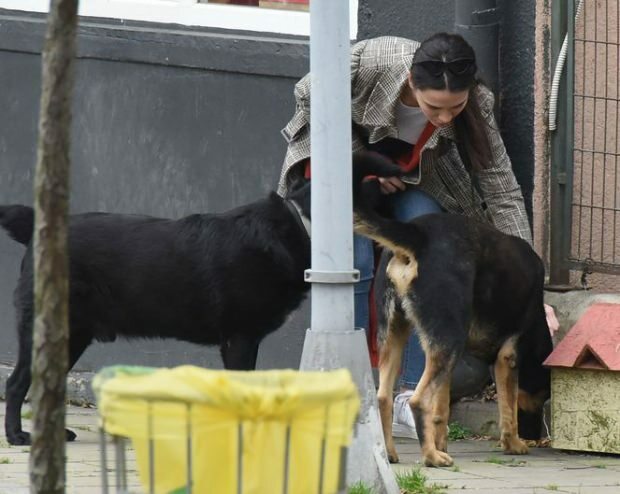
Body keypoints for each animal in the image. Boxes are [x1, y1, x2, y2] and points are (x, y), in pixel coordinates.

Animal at [354, 166, 552, 466]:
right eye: (542, 394)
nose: (536, 437)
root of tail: (417, 234)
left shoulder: (445, 360)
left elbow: (441, 411)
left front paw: (442, 444)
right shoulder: (507, 357)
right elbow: (508, 408)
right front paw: (513, 443)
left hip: (398, 335)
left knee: (384, 397)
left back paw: (393, 453)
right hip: (449, 340)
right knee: (417, 401)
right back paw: (431, 458)